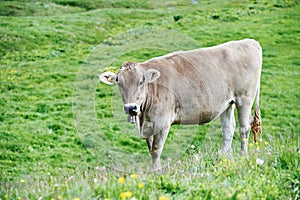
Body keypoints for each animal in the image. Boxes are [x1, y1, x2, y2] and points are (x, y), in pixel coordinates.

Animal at [99, 38, 262, 170]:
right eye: (119, 82)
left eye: (141, 82)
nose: (130, 107)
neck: (143, 117)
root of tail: (250, 42)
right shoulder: (148, 126)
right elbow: (151, 148)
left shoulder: (162, 122)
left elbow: (156, 149)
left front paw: (156, 171)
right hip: (227, 103)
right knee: (228, 129)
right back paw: (225, 158)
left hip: (245, 97)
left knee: (244, 127)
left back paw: (242, 156)